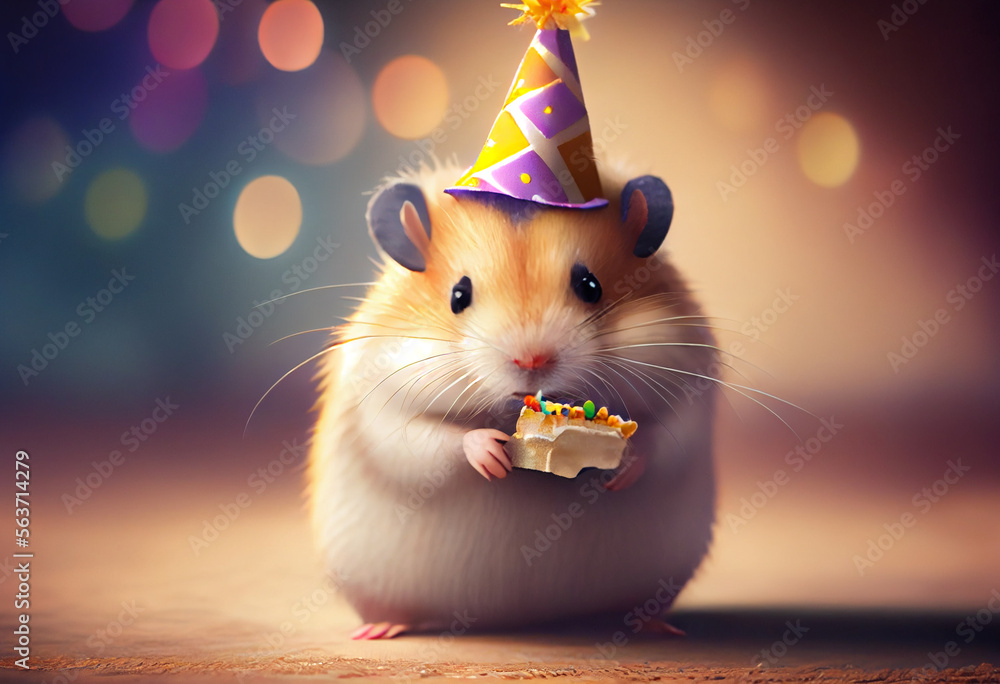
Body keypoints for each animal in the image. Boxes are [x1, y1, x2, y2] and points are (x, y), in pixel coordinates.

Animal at [307, 162, 717, 639]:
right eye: (458, 295)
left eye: (590, 285)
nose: (532, 359)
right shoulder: (377, 400)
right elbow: (426, 441)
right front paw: (492, 454)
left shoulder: (691, 376)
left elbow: (667, 436)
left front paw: (620, 470)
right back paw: (379, 629)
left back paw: (654, 625)